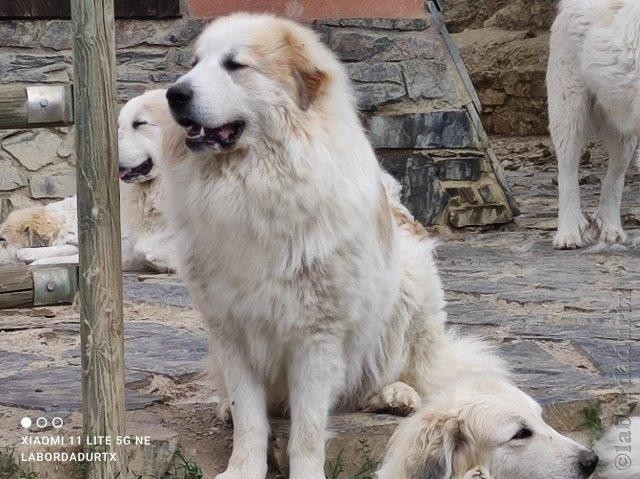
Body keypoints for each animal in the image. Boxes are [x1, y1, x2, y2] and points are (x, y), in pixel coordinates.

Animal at [161, 13, 600, 478]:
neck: (254, 187)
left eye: (234, 65)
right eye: (194, 63)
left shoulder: (318, 336)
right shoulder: (232, 329)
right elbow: (249, 418)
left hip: (409, 293)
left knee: (382, 380)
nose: (174, 94)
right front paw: (242, 467)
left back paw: (395, 394)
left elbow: (307, 430)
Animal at [548, 1, 640, 251]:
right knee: (567, 172)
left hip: (624, 134)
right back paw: (568, 234)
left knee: (614, 180)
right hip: (567, 112)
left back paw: (611, 229)